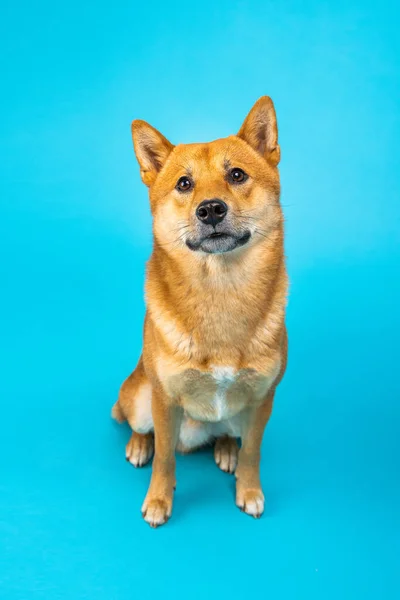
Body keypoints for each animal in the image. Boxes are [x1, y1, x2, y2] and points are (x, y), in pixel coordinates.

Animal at [112, 96, 288, 528]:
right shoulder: (164, 399)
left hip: (236, 415)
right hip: (140, 397)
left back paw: (224, 448)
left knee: (228, 436)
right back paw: (138, 445)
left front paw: (249, 490)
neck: (220, 291)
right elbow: (164, 459)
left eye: (237, 175)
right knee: (145, 430)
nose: (210, 210)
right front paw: (159, 500)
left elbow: (253, 451)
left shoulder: (263, 400)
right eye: (184, 184)